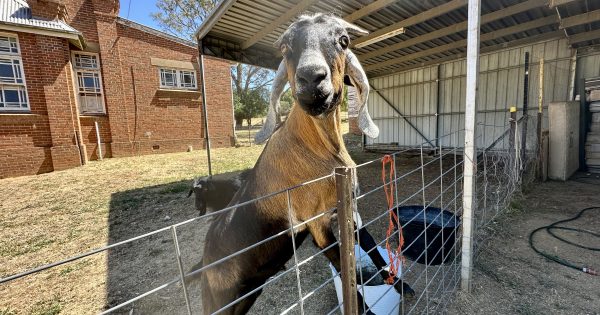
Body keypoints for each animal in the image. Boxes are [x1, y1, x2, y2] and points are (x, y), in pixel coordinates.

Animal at [199, 13, 392, 314]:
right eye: (284, 47)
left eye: (343, 40)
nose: (311, 78)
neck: (320, 151)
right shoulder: (317, 224)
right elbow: (344, 269)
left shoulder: (348, 209)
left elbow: (369, 247)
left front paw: (394, 281)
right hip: (221, 299)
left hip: (248, 292)